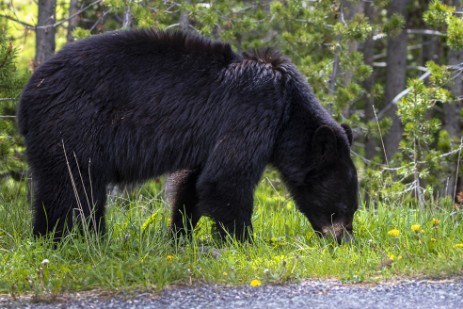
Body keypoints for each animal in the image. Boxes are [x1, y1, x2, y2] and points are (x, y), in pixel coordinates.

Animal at [17, 29, 358, 243]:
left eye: (352, 208)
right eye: (343, 206)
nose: (345, 240)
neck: (288, 109)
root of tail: (27, 96)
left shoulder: (209, 140)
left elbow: (191, 184)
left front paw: (180, 237)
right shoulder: (252, 110)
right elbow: (226, 179)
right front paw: (243, 242)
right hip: (73, 127)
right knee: (71, 189)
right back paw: (61, 240)